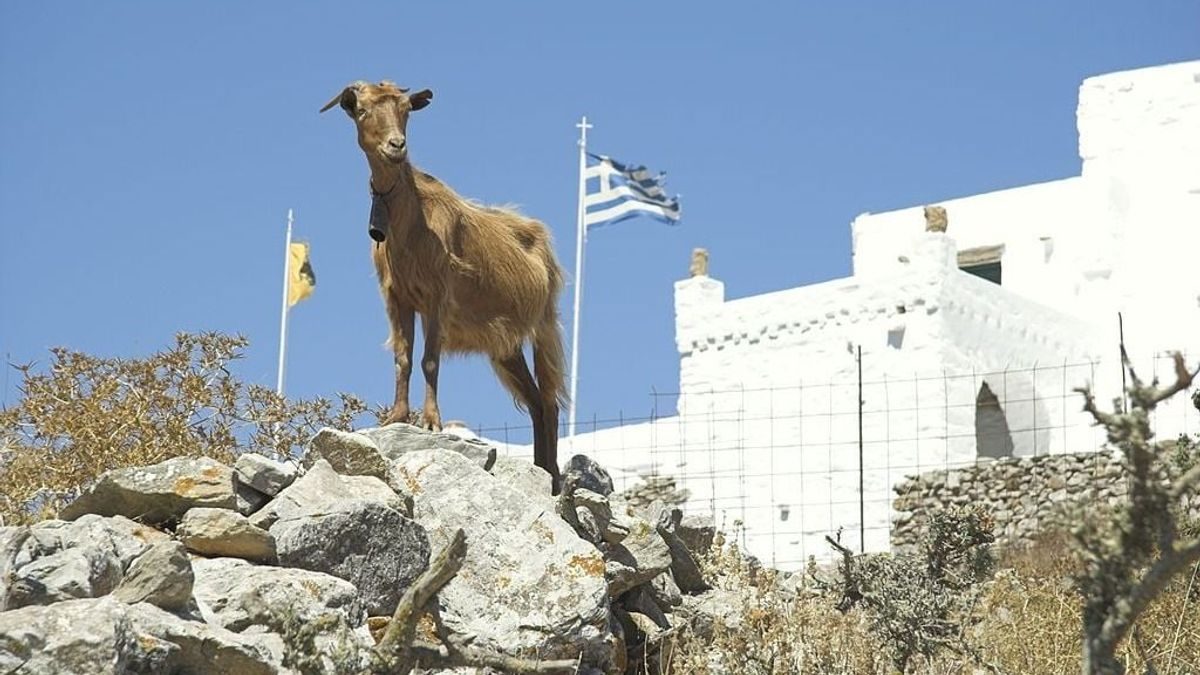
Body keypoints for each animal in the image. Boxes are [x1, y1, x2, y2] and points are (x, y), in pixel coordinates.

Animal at [321, 79, 568, 487]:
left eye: (405, 109)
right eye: (362, 109)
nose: (396, 146)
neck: (410, 223)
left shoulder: (438, 296)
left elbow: (430, 360)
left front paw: (432, 422)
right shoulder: (397, 298)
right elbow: (403, 357)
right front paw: (397, 417)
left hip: (543, 324)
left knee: (549, 399)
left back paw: (553, 475)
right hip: (506, 346)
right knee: (535, 402)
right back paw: (541, 468)